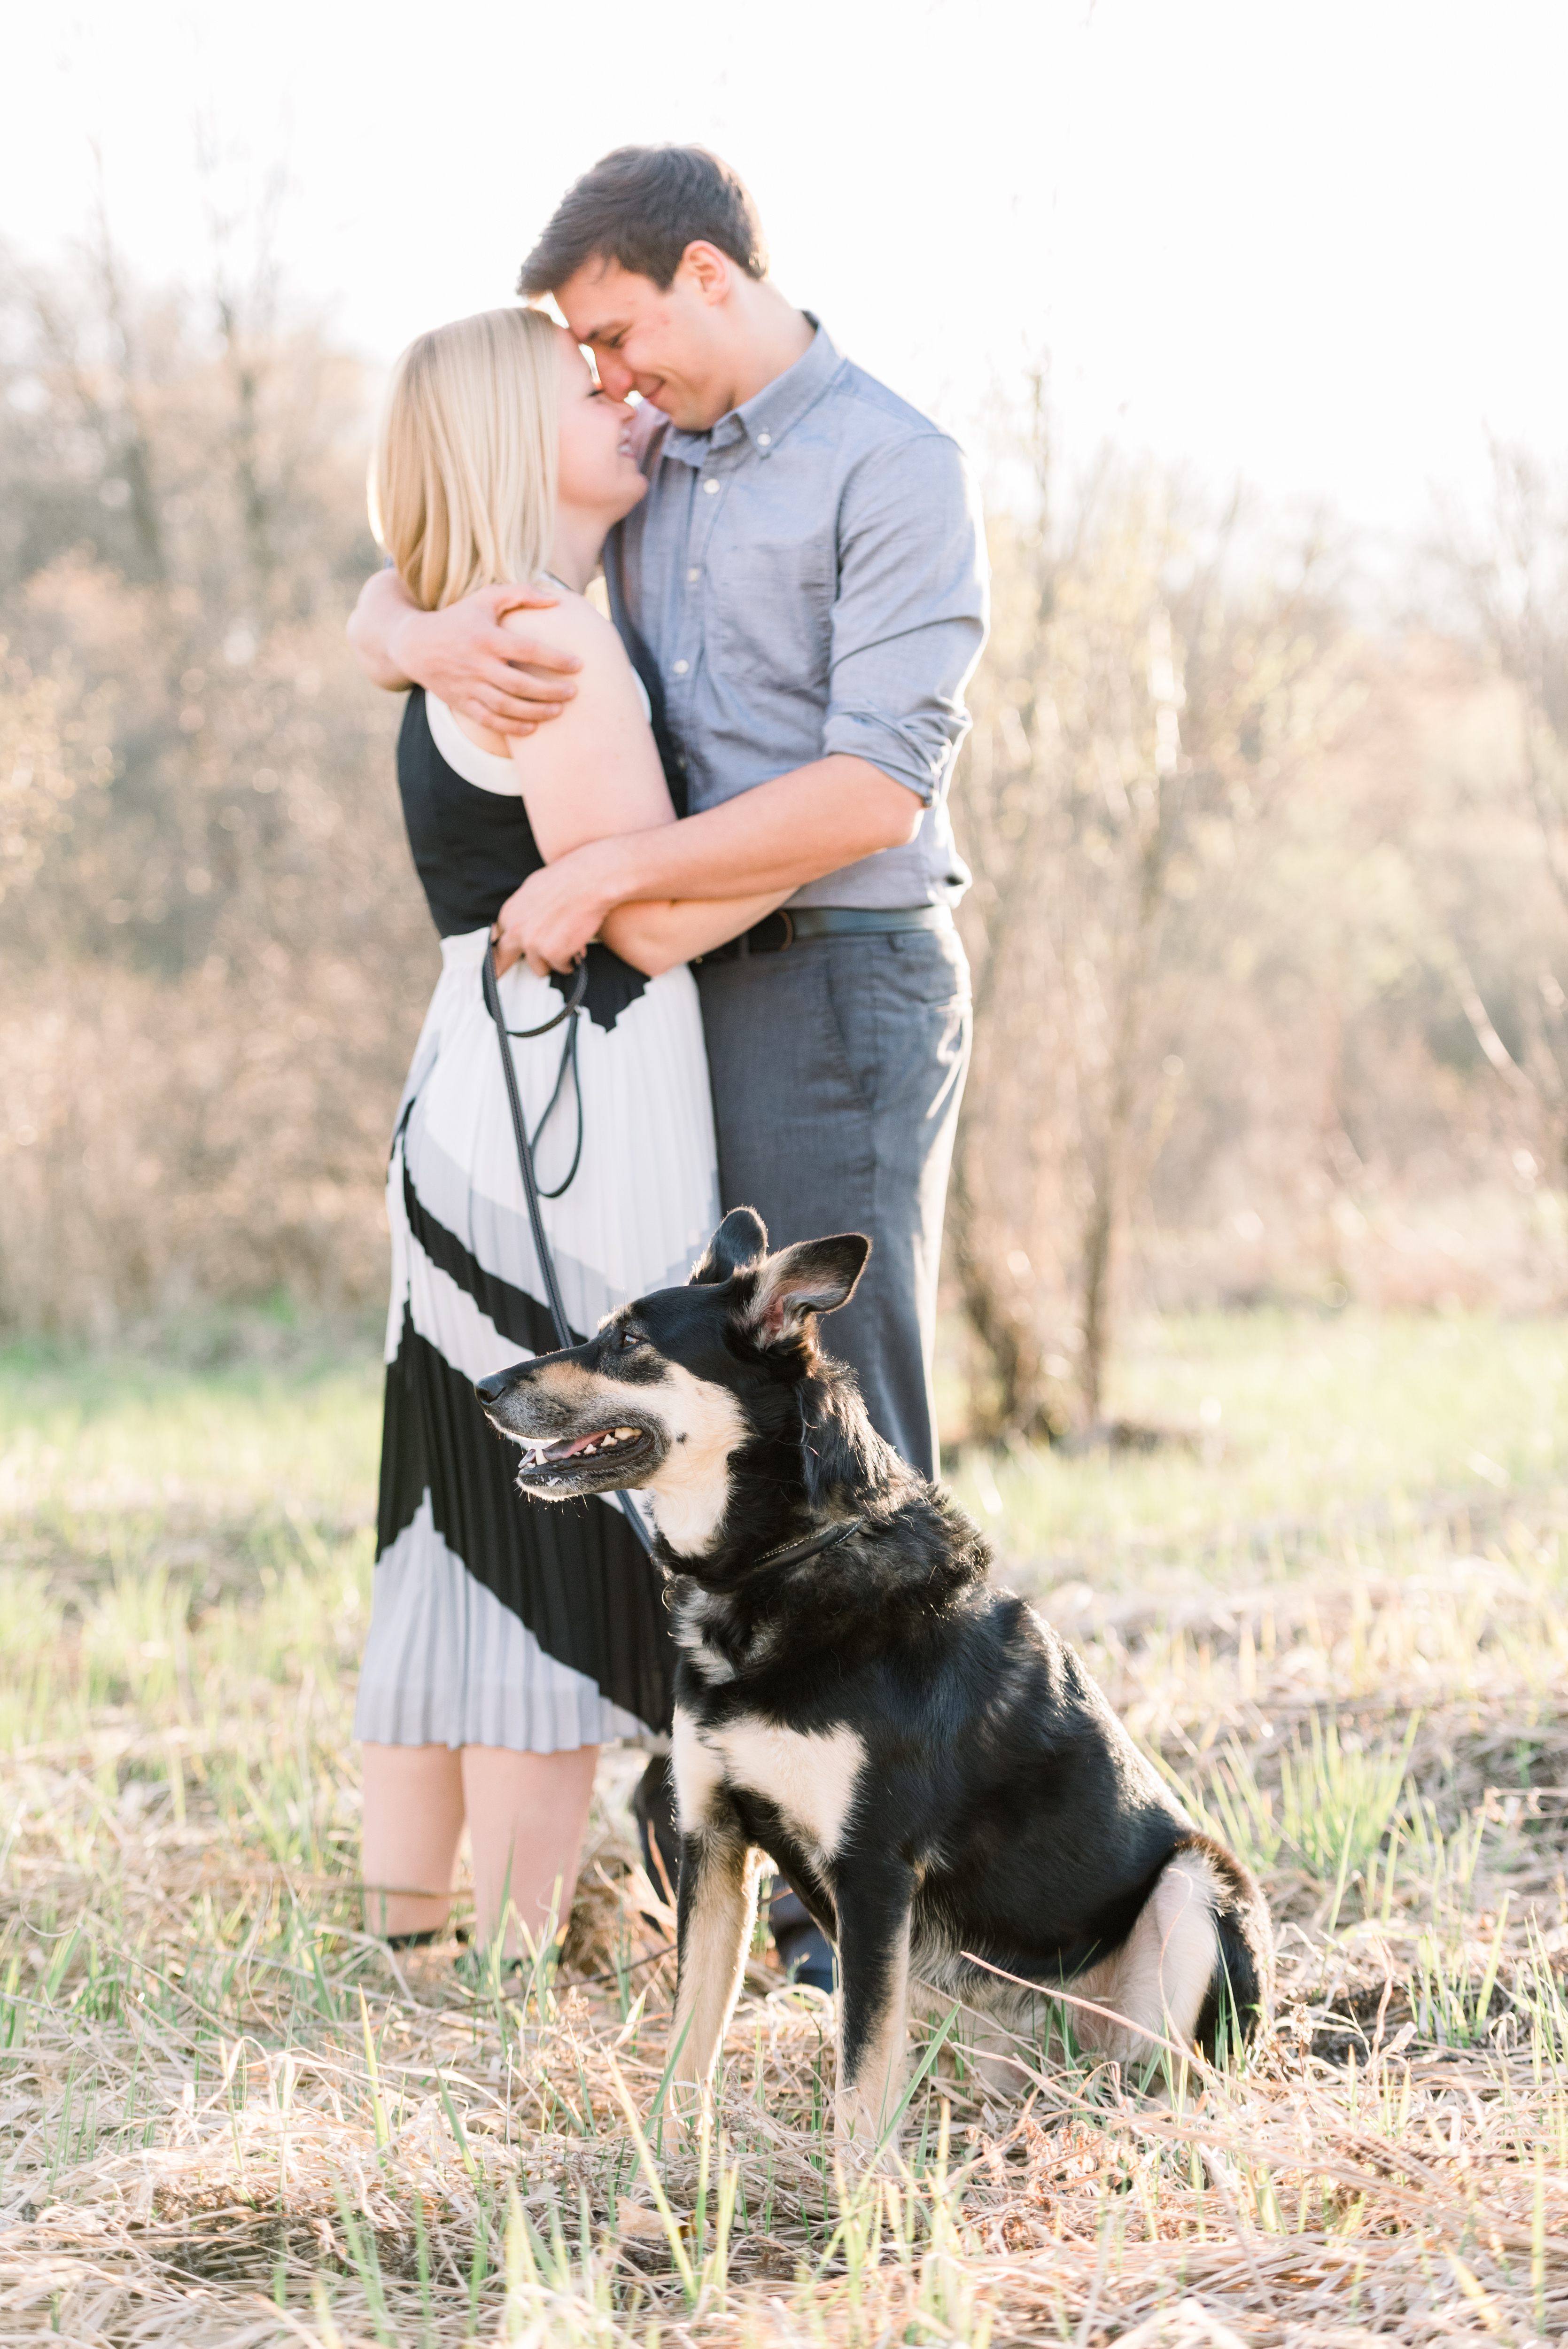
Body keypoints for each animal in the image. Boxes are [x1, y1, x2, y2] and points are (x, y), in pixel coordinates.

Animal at [479, 1212, 1277, 2152]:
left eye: (630, 1342)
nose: (484, 1387)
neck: (775, 1564)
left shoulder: (871, 1871)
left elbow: (858, 2074)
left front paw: (857, 2187)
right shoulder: (711, 1842)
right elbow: (690, 2034)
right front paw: (665, 2158)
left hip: (1197, 1886)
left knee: (1171, 2068)